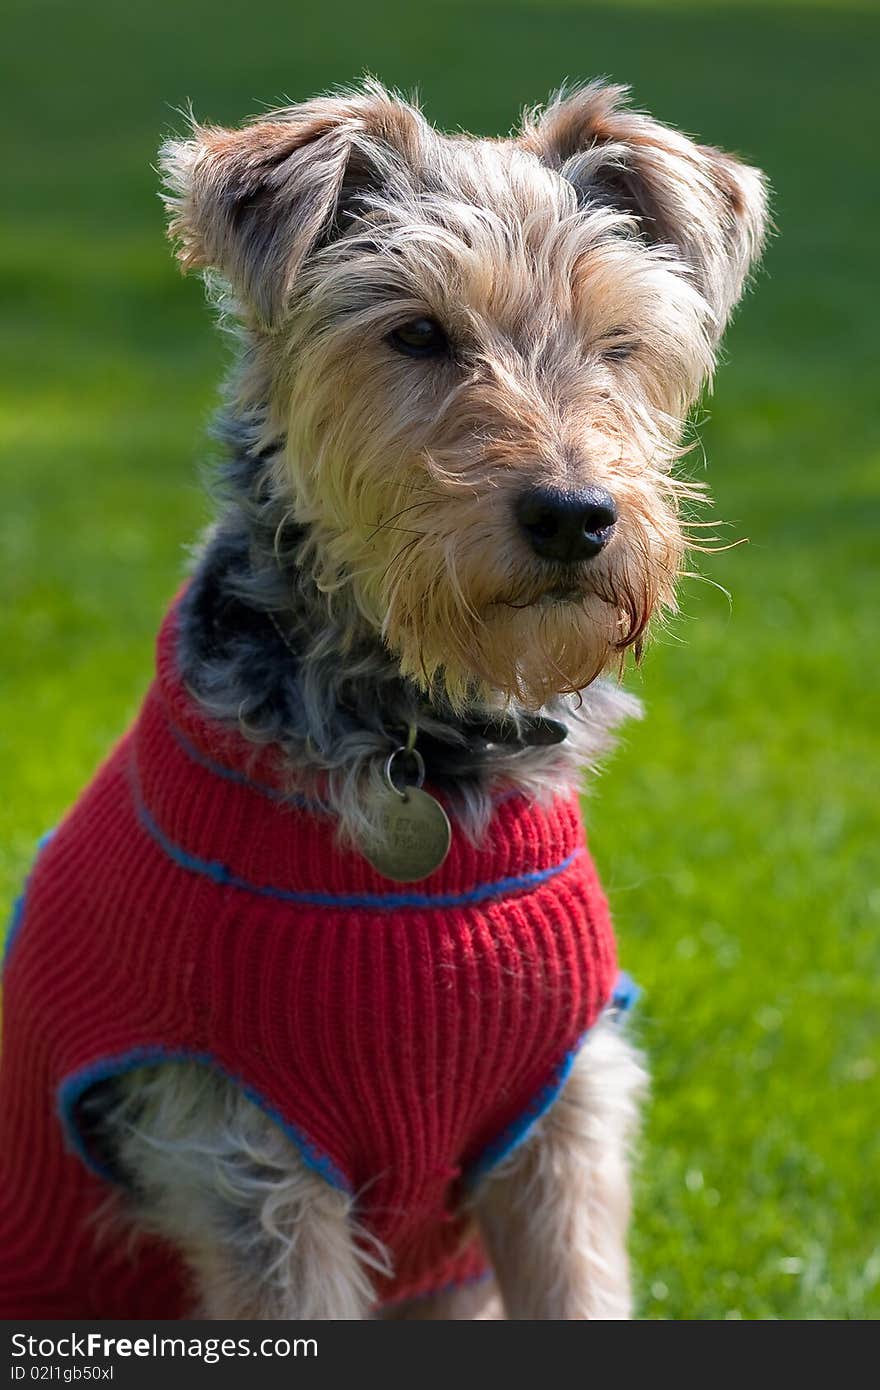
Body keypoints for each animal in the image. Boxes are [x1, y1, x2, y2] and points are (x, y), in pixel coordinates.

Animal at [0, 81, 767, 1317]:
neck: (430, 747)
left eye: (618, 342)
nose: (573, 514)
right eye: (417, 333)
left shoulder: (565, 1120)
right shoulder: (246, 1150)